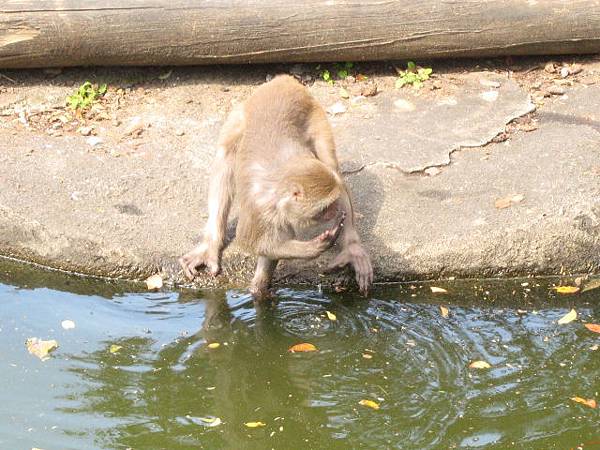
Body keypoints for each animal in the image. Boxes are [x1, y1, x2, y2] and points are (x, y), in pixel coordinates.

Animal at [180, 75, 372, 298]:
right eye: (325, 208)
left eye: (331, 205)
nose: (335, 210)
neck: (279, 189)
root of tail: (282, 80)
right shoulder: (261, 210)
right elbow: (249, 241)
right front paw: (313, 248)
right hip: (241, 114)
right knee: (226, 155)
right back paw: (211, 243)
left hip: (315, 114)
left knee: (331, 164)